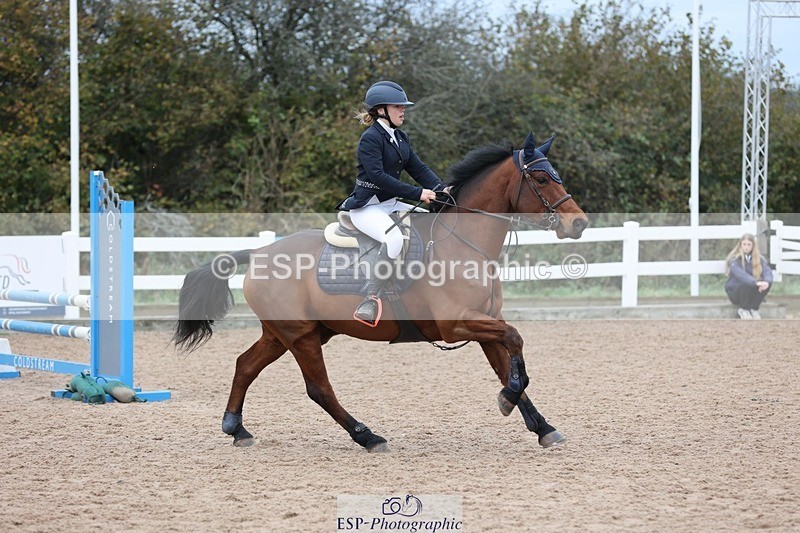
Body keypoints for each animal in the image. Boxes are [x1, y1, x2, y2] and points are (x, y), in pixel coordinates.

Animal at [173, 131, 588, 451]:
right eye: (542, 180)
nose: (580, 223)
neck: (465, 245)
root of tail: (259, 253)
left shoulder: (486, 323)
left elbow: (508, 366)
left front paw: (542, 426)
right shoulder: (458, 324)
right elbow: (515, 342)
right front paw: (510, 402)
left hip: (285, 333)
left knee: (245, 364)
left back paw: (236, 428)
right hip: (300, 336)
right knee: (318, 388)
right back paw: (367, 436)